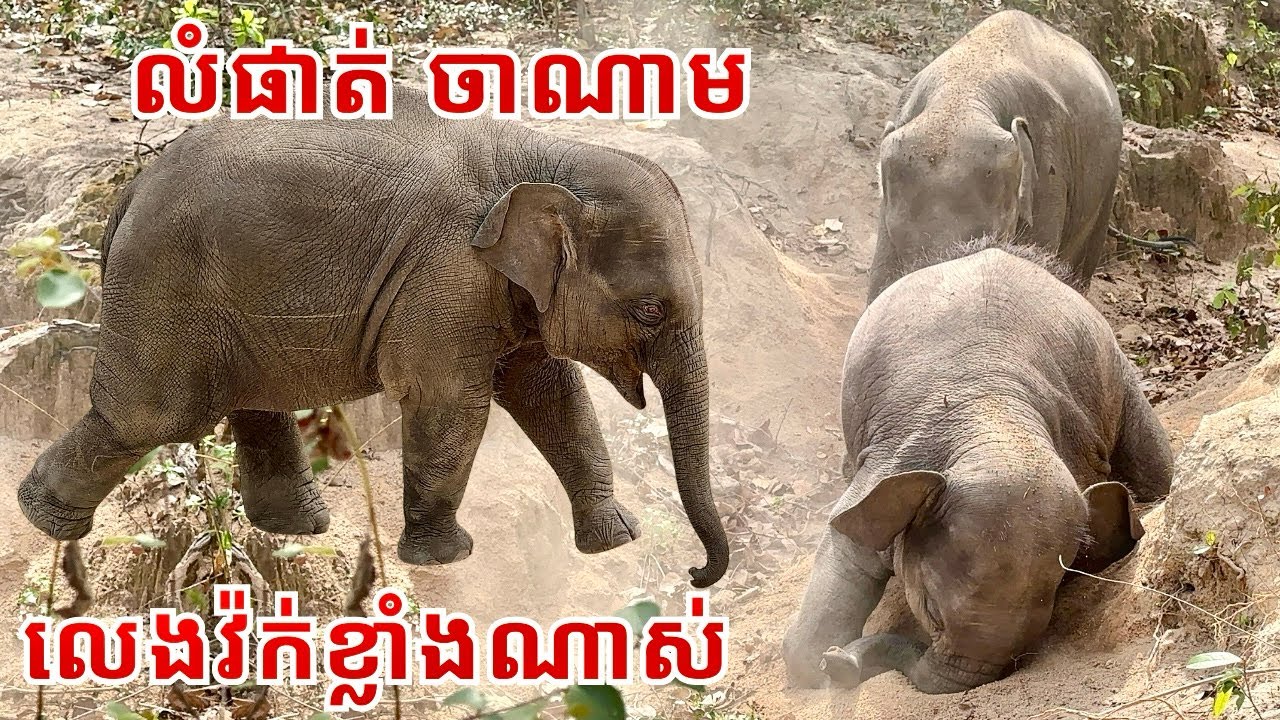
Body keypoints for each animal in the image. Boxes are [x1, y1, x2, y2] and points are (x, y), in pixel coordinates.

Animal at [16, 85, 730, 588]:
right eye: (649, 309)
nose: (696, 573)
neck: (541, 154)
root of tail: (130, 188)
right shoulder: (445, 271)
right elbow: (452, 402)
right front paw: (444, 558)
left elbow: (552, 394)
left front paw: (615, 539)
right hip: (165, 279)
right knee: (154, 416)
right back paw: (45, 521)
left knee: (252, 397)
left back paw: (298, 528)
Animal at [782, 239, 1173, 693]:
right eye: (931, 611)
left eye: (1046, 618)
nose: (840, 660)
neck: (991, 413)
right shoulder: (892, 456)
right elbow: (846, 545)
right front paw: (820, 661)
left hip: (1119, 376)